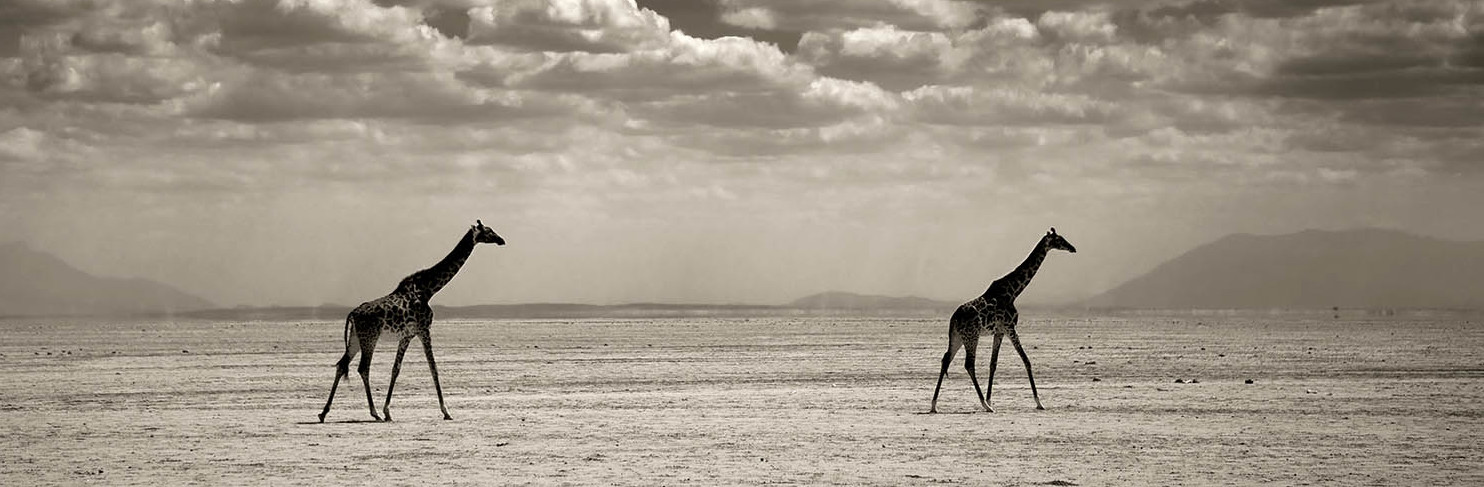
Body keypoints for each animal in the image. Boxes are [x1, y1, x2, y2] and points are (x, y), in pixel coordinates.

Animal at [316, 221, 507, 421]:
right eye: (488, 231)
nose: (501, 240)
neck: (428, 290)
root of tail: (352, 313)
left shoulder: (407, 335)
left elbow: (396, 368)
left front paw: (388, 411)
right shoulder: (424, 330)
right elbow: (433, 368)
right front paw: (446, 411)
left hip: (355, 338)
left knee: (341, 365)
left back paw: (324, 412)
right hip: (370, 337)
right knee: (363, 368)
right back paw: (374, 413)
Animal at [926, 228, 1080, 415]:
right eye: (1060, 239)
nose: (1073, 248)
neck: (1014, 291)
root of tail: (953, 319)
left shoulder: (999, 331)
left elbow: (993, 364)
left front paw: (990, 399)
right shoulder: (1010, 327)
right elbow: (1026, 360)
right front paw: (1039, 402)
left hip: (957, 337)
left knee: (945, 360)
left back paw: (934, 405)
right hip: (971, 336)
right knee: (969, 364)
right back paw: (984, 406)